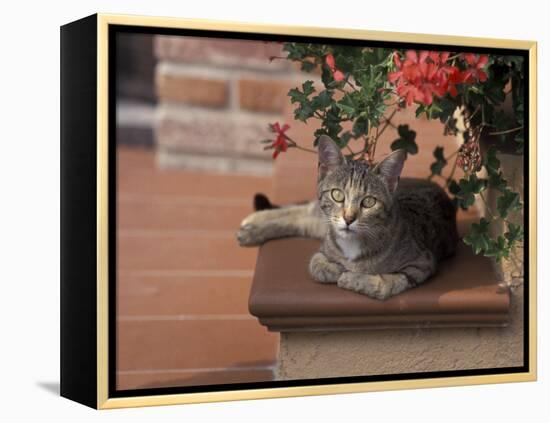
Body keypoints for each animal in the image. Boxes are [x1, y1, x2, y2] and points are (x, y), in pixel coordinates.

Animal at [239, 137, 460, 302]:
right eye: (337, 195)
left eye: (369, 202)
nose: (348, 218)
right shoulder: (324, 245)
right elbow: (316, 265)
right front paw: (336, 269)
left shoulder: (422, 262)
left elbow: (387, 283)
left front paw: (352, 278)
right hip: (322, 219)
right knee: (303, 210)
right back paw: (252, 224)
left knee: (301, 218)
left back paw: (251, 229)